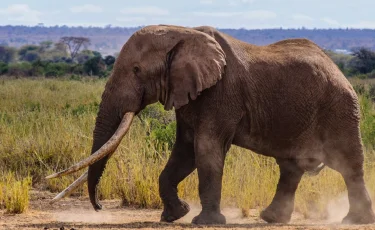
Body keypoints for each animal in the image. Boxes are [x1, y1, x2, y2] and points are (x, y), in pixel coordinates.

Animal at [47, 24, 375, 225]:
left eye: (137, 70)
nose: (100, 207)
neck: (181, 33)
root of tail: (338, 69)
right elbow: (184, 152)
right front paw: (174, 216)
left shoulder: (221, 93)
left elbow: (206, 150)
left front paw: (203, 222)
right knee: (291, 167)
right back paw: (271, 219)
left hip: (340, 108)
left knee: (348, 164)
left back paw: (354, 221)